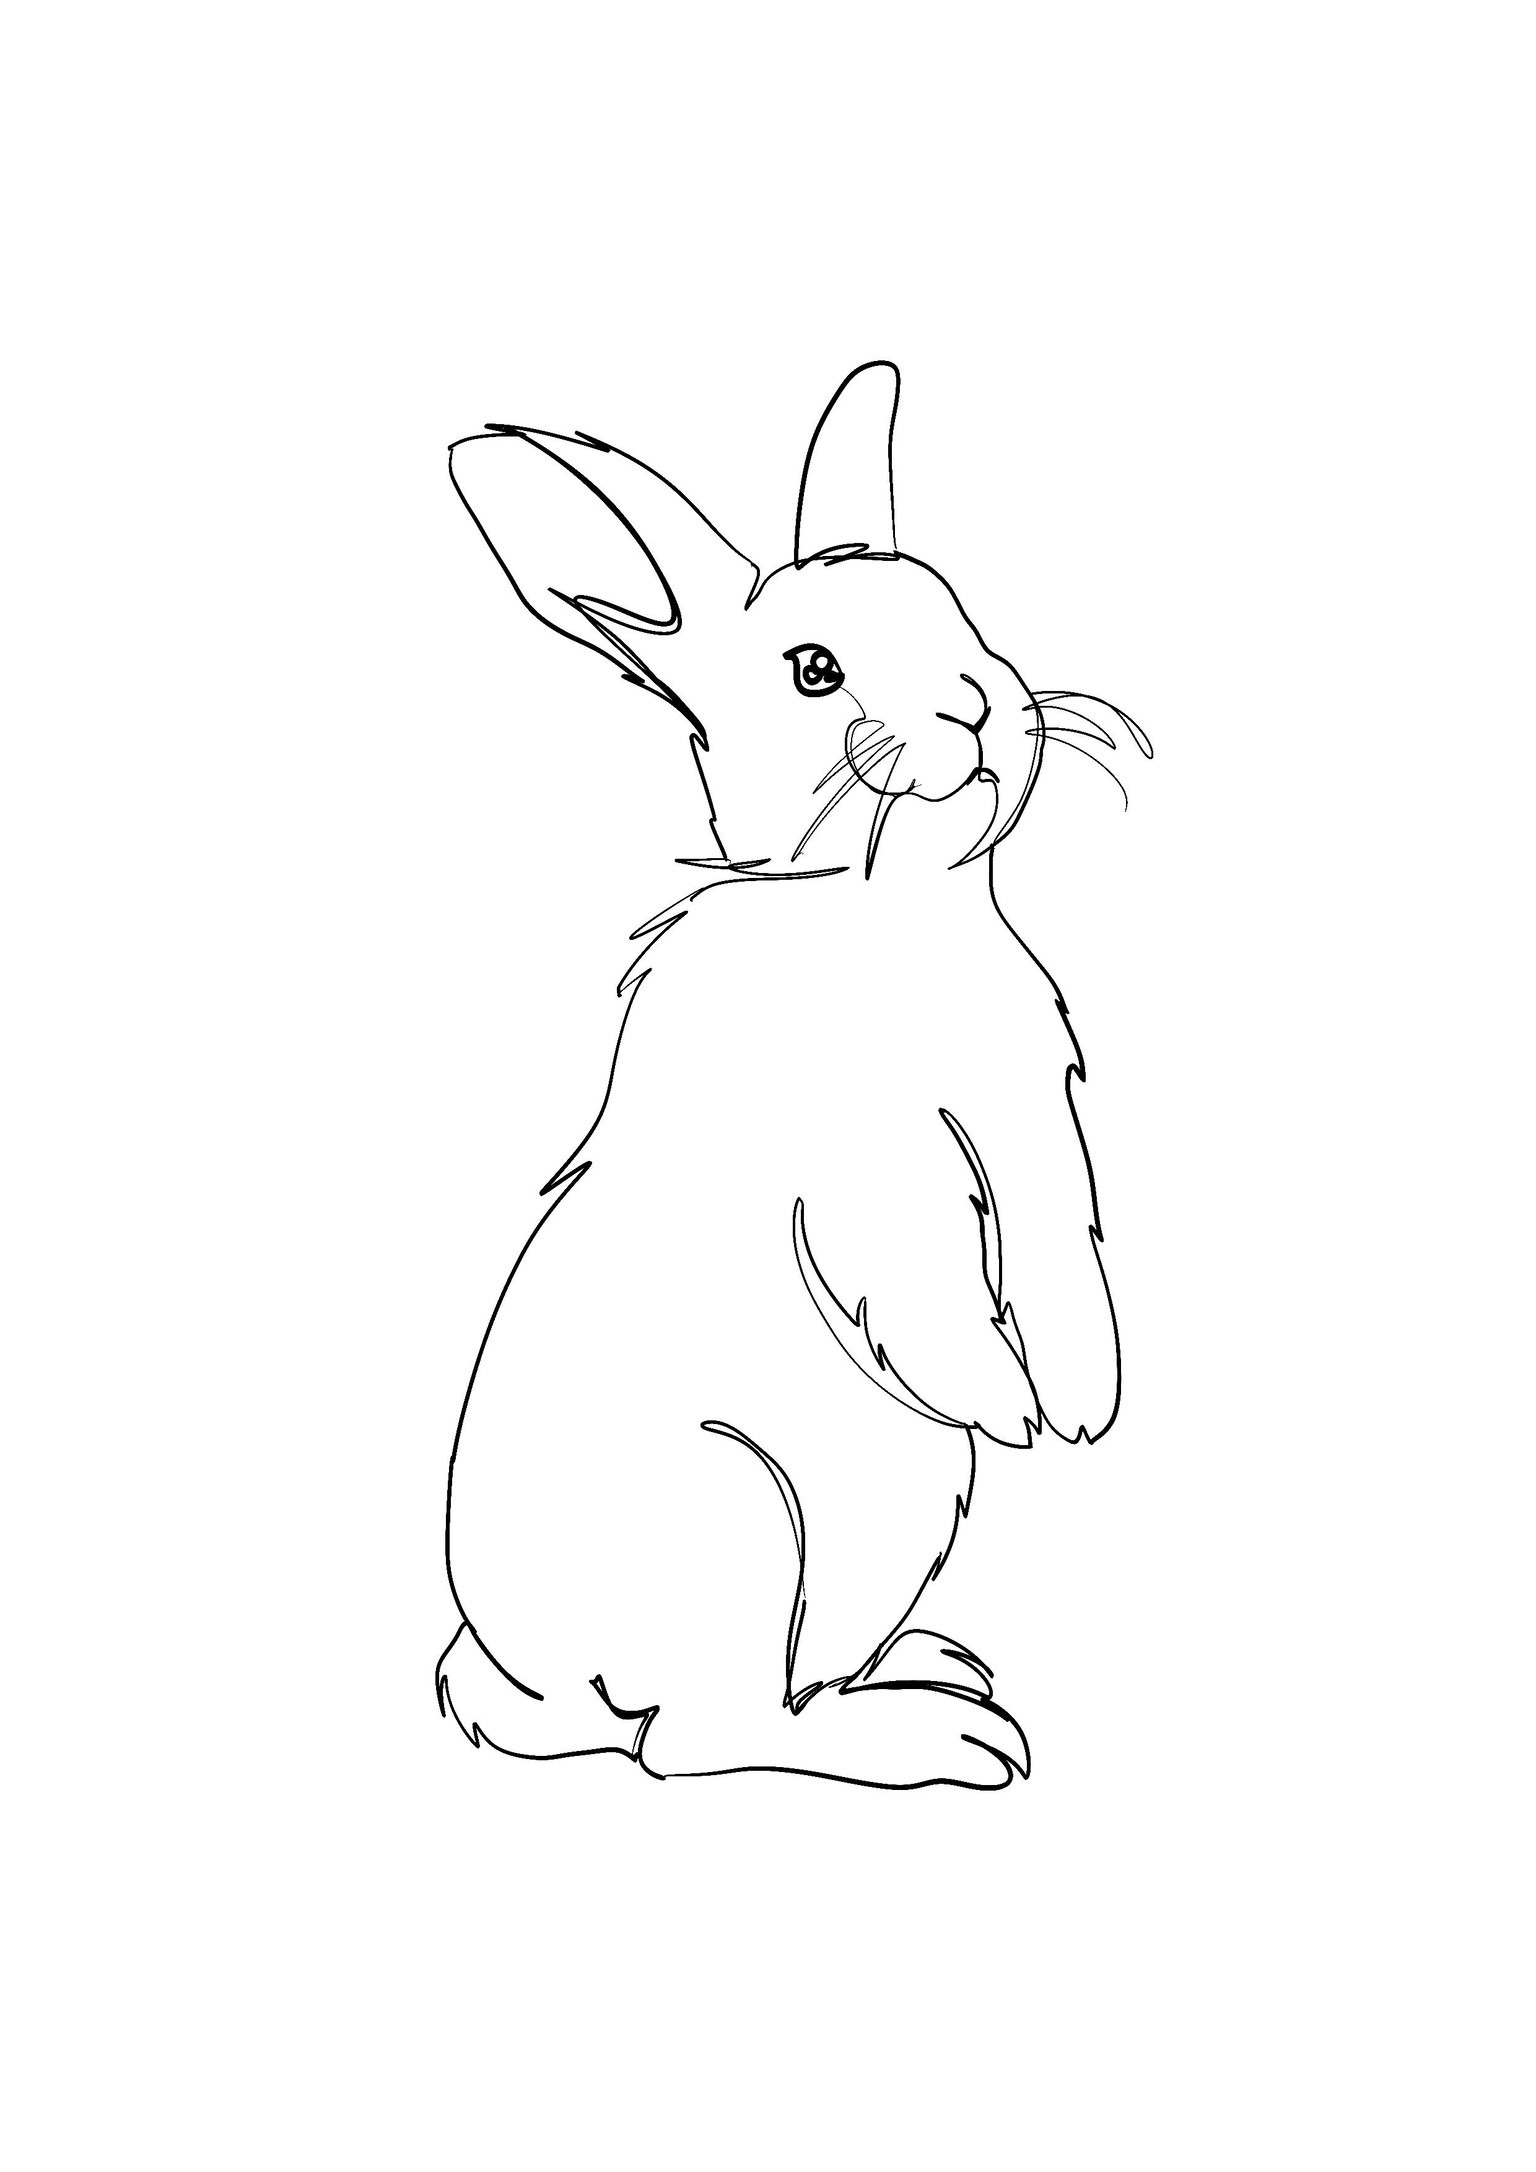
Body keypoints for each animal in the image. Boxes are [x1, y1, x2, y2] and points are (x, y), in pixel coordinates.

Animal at [436, 362, 1149, 1788]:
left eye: (955, 606)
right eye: (814, 670)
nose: (977, 700)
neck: (879, 907)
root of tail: (532, 1681)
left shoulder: (1029, 1114)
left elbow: (1060, 1246)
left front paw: (1083, 1403)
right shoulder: (863, 1168)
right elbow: (915, 1285)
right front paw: (1008, 1412)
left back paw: (938, 1668)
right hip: (742, 1521)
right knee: (701, 1740)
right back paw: (945, 1738)